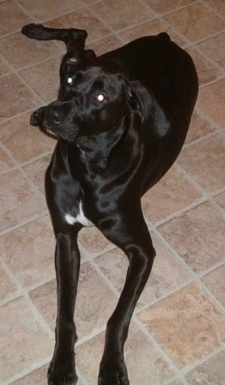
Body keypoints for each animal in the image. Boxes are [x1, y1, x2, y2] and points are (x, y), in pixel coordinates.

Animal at [20, 24, 197, 384]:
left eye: (101, 98)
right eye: (71, 82)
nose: (53, 113)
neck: (87, 164)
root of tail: (165, 40)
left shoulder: (142, 251)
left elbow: (117, 317)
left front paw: (113, 366)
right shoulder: (65, 238)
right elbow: (65, 311)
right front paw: (63, 363)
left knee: (79, 40)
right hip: (95, 57)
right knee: (78, 40)